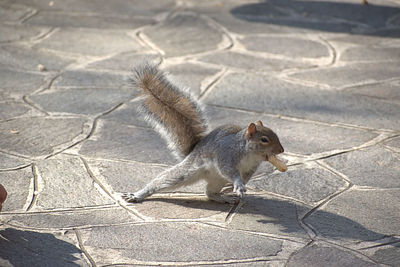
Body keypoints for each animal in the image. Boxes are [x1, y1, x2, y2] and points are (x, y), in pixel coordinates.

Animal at [122, 62, 288, 205]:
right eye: (264, 139)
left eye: (276, 135)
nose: (281, 150)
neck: (249, 153)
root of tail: (194, 149)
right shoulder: (226, 155)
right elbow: (230, 171)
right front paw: (238, 184)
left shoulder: (251, 168)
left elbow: (245, 178)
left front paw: (234, 187)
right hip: (190, 170)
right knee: (164, 180)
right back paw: (139, 194)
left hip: (217, 180)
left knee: (209, 193)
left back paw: (224, 197)